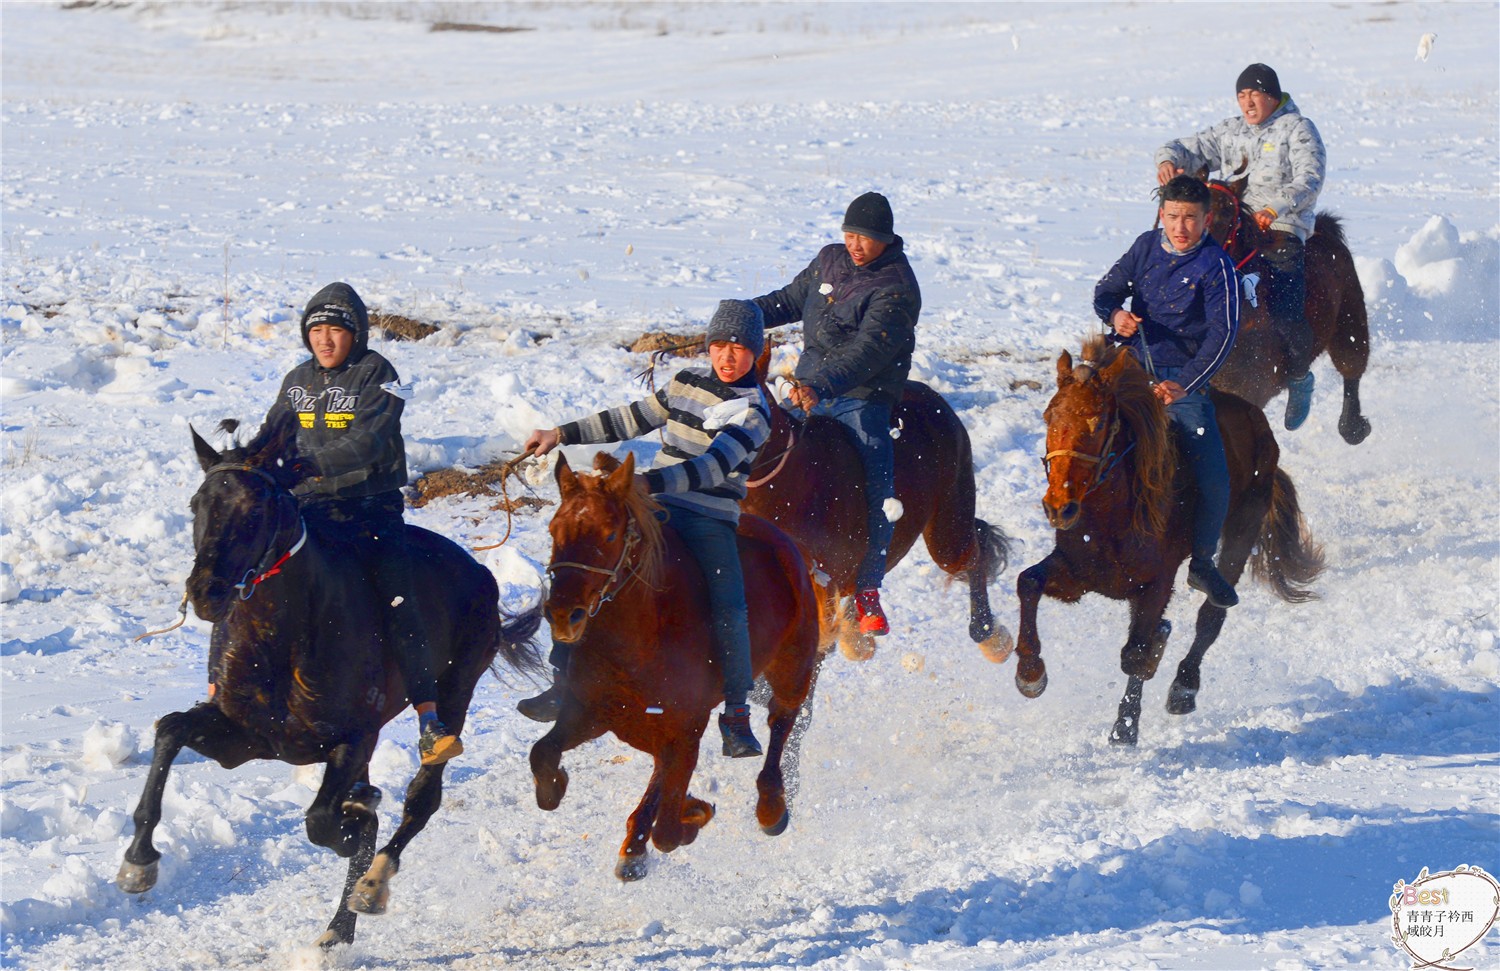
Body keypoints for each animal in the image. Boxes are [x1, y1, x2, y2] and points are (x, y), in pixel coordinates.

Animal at [118, 420, 540, 948]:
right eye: (198, 504)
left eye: (254, 508)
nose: (204, 591)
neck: (283, 640)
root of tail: (482, 571)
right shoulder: (245, 738)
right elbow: (170, 729)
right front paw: (138, 862)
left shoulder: (353, 739)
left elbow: (323, 822)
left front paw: (355, 829)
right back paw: (340, 923)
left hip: (457, 687)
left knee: (422, 797)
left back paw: (371, 886)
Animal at [522, 453, 816, 882]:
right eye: (553, 530)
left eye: (610, 535)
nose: (563, 615)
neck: (643, 634)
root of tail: (786, 546)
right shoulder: (591, 711)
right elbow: (542, 754)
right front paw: (556, 786)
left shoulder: (686, 727)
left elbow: (669, 832)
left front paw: (696, 811)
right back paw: (634, 845)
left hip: (792, 666)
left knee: (782, 720)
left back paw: (770, 804)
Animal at [1008, 334, 1326, 744]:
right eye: (1049, 417)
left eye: (1097, 422)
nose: (1058, 507)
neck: (1112, 515)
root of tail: (1259, 422)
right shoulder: (1077, 573)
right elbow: (1028, 582)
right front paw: (1030, 673)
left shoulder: (1157, 581)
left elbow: (1137, 653)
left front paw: (1125, 727)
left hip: (1242, 531)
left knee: (1211, 616)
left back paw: (1184, 687)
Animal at [1194, 177, 1374, 444]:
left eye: (1227, 212)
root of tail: (1324, 230)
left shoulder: (1245, 391)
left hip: (1350, 323)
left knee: (1351, 369)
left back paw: (1353, 427)